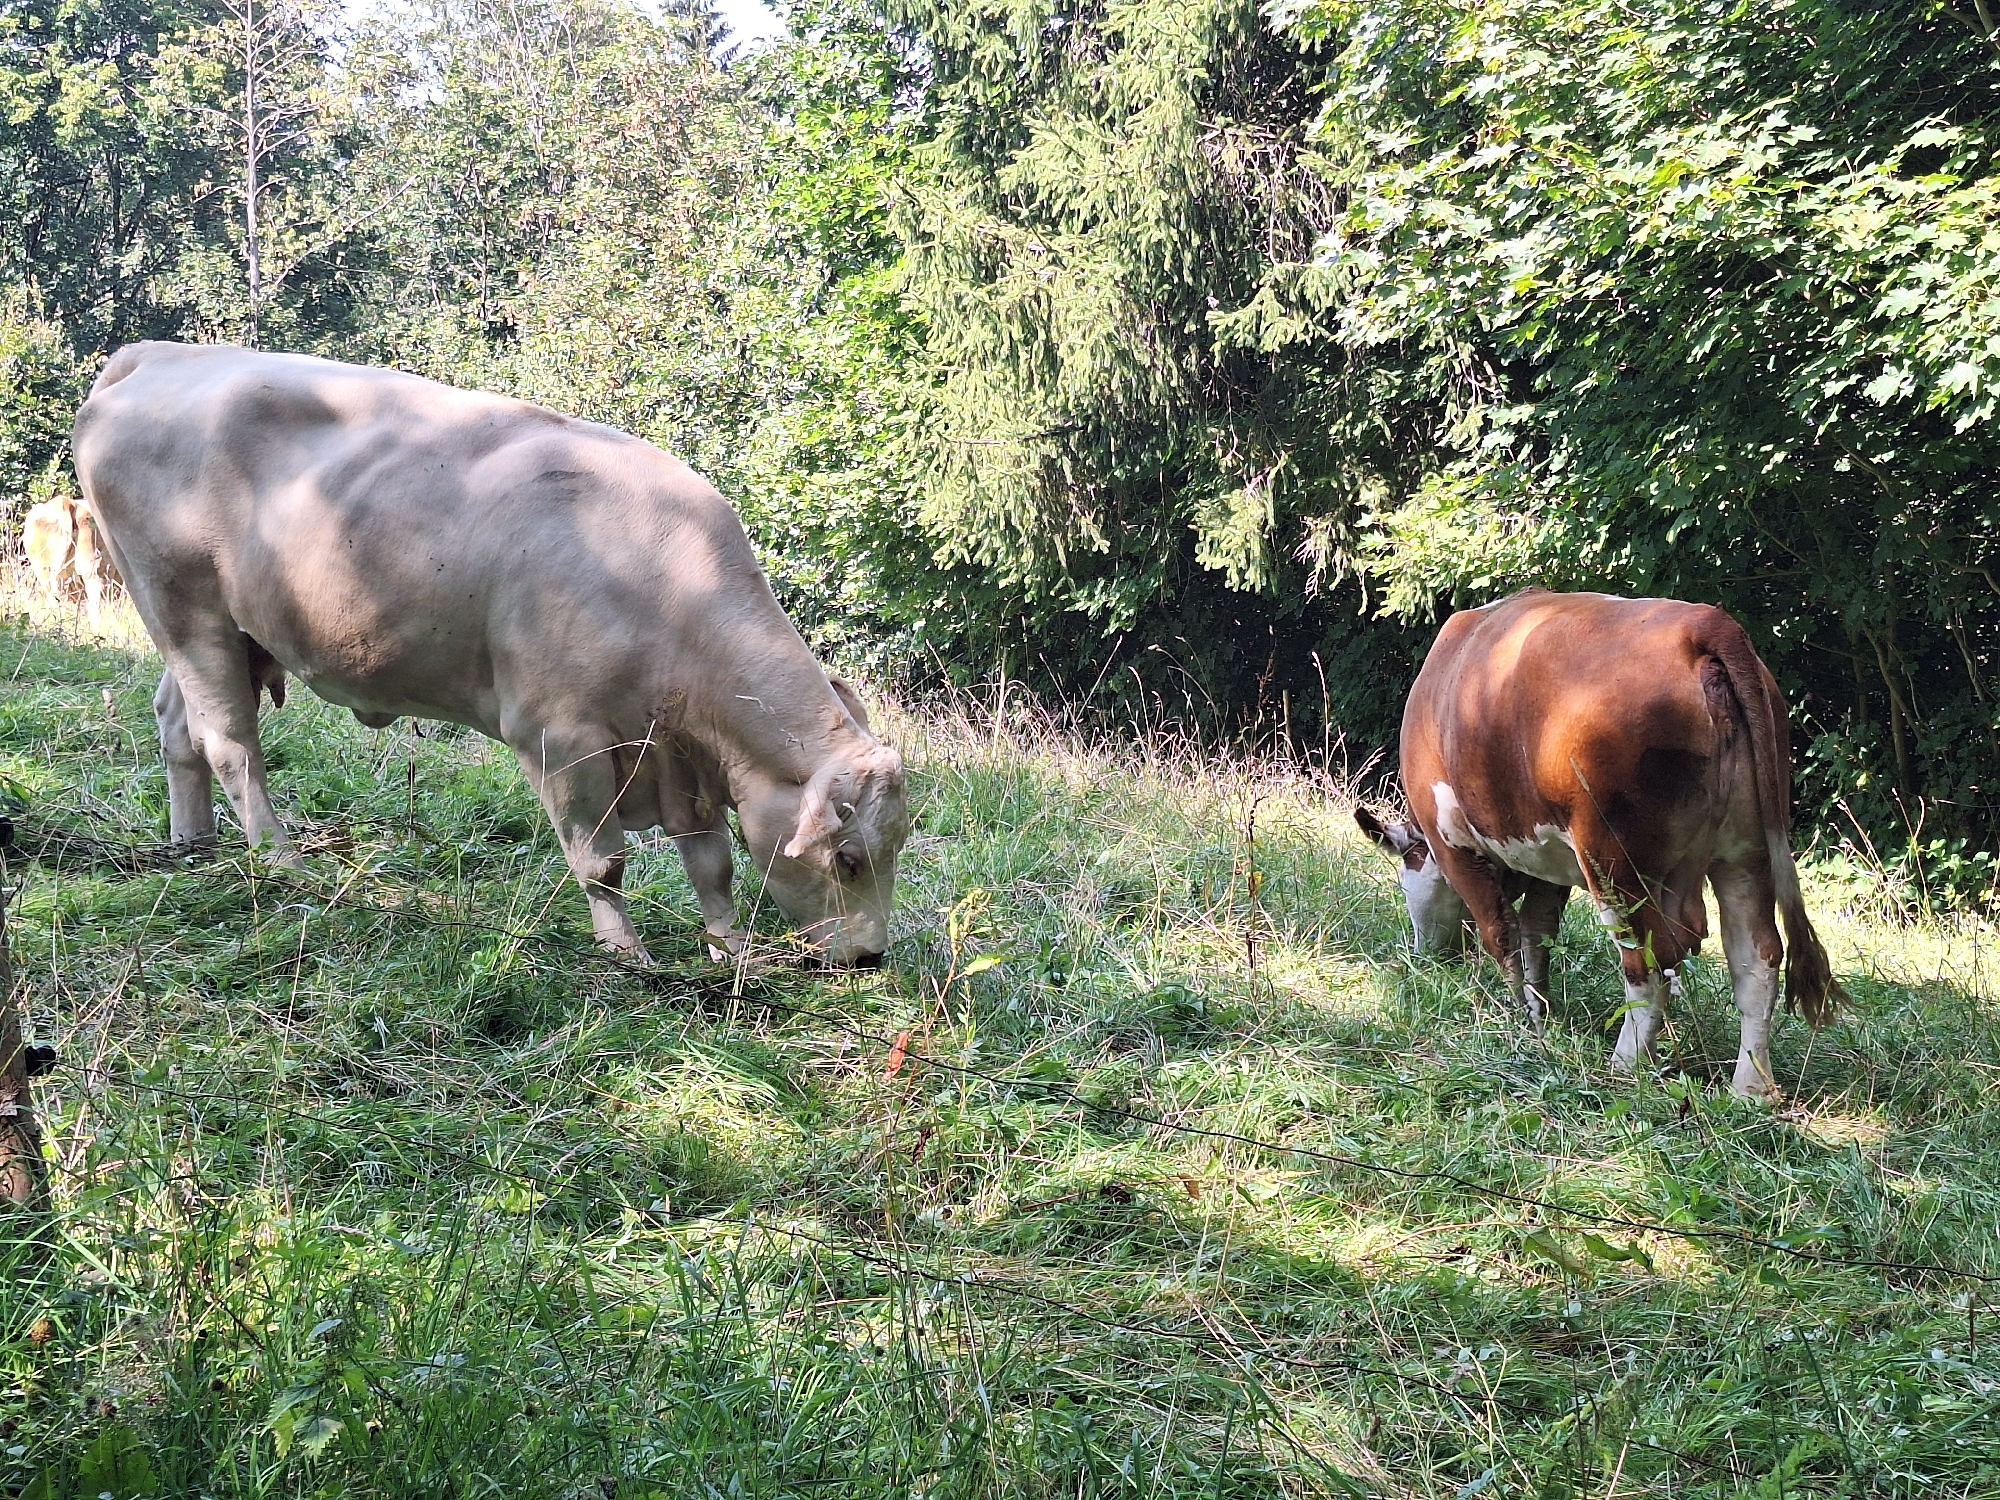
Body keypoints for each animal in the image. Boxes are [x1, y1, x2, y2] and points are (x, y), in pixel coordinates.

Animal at [72, 342, 908, 966]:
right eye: (847, 859)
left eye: (893, 845)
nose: (869, 957)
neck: (667, 584)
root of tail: (160, 355)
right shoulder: (559, 735)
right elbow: (602, 860)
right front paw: (627, 955)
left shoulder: (678, 752)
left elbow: (711, 862)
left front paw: (728, 950)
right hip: (184, 606)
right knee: (230, 743)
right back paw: (280, 862)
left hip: (219, 627)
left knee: (177, 724)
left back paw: (195, 845)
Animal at [1356, 589, 1842, 1099]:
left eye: (1406, 882)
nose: (1425, 955)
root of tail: (1704, 625)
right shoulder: (1545, 856)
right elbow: (1538, 934)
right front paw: (1540, 1015)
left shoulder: (1454, 843)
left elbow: (1502, 935)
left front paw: (1518, 1018)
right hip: (1746, 854)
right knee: (1756, 958)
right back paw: (1751, 1088)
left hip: (1614, 862)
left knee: (1650, 961)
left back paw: (1626, 1064)